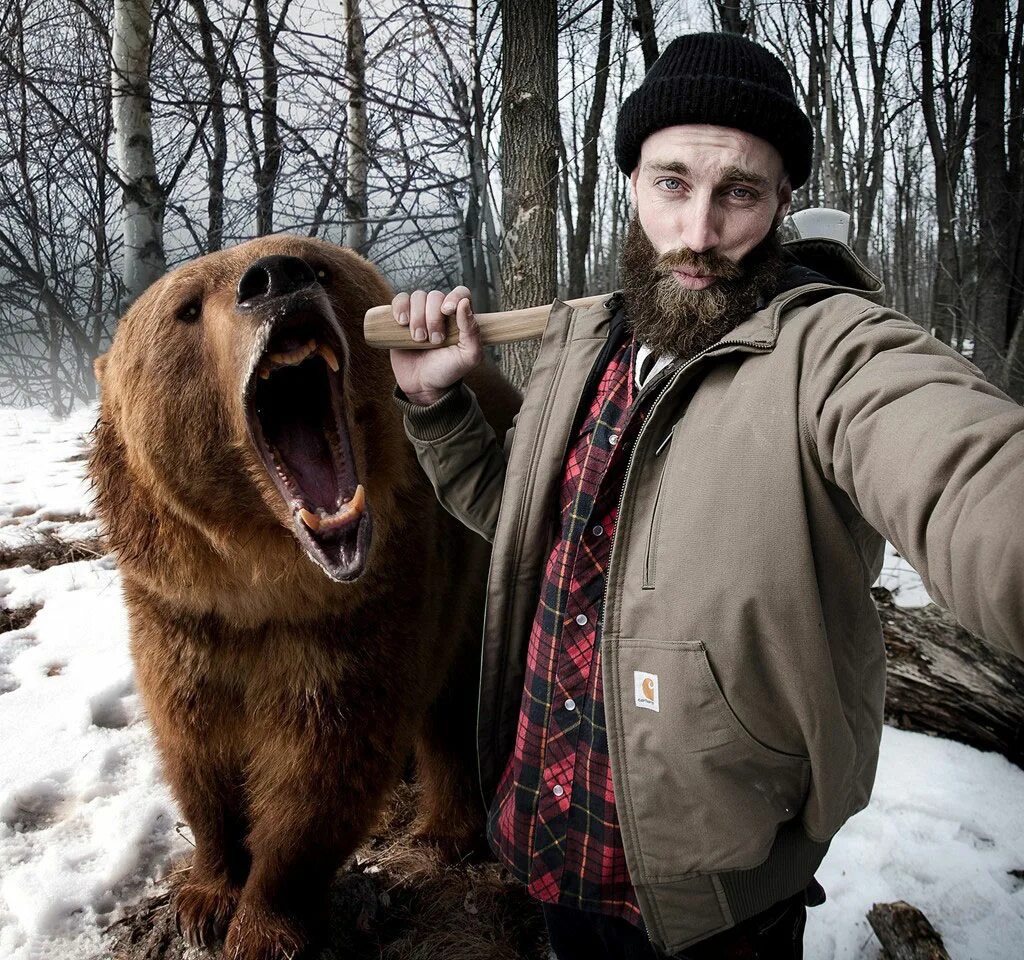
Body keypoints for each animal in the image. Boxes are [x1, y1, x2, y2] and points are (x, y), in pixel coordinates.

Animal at [89, 235, 520, 957]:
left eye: (318, 265)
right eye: (185, 308)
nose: (274, 279)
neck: (263, 586)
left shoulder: (358, 620)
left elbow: (320, 773)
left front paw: (263, 926)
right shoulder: (180, 617)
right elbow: (196, 753)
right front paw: (205, 897)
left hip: (474, 580)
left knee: (453, 707)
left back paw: (442, 834)